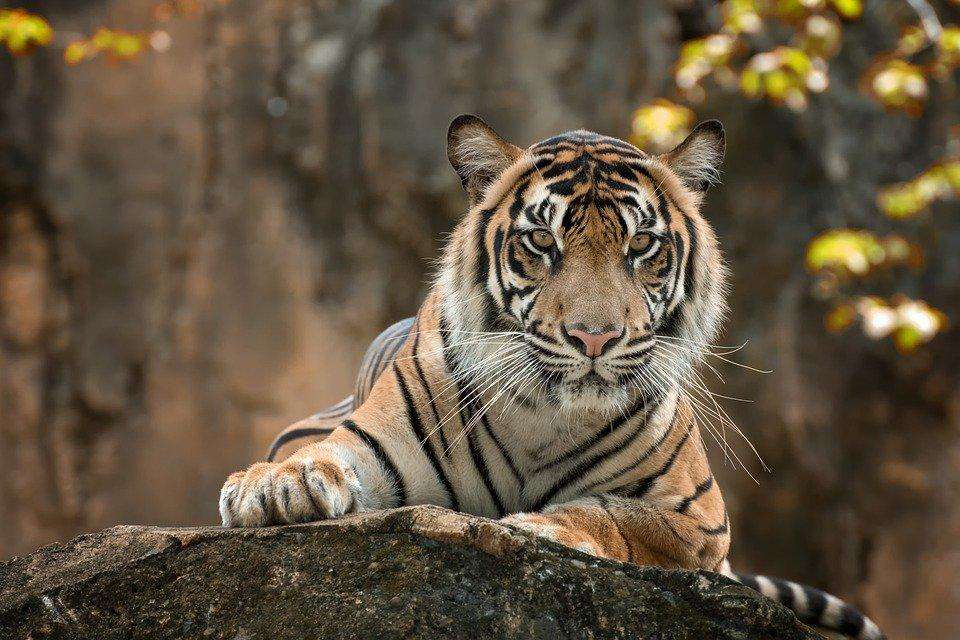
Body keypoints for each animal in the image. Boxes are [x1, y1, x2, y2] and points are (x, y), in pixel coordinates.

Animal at [219, 115, 885, 640]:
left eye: (642, 247)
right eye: (542, 240)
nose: (594, 337)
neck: (543, 417)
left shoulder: (699, 521)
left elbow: (615, 515)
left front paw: (539, 527)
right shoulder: (369, 441)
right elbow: (322, 458)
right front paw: (275, 487)